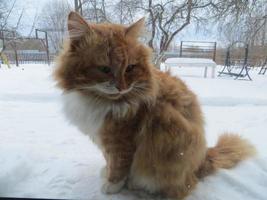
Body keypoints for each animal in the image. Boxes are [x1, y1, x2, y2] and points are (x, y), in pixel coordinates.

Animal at [53, 12, 256, 198]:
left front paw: (112, 186)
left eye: (130, 68)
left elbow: (119, 166)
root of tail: (202, 160)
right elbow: (109, 160)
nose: (122, 87)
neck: (98, 99)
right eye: (104, 69)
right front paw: (107, 172)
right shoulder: (104, 138)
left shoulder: (121, 140)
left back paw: (139, 187)